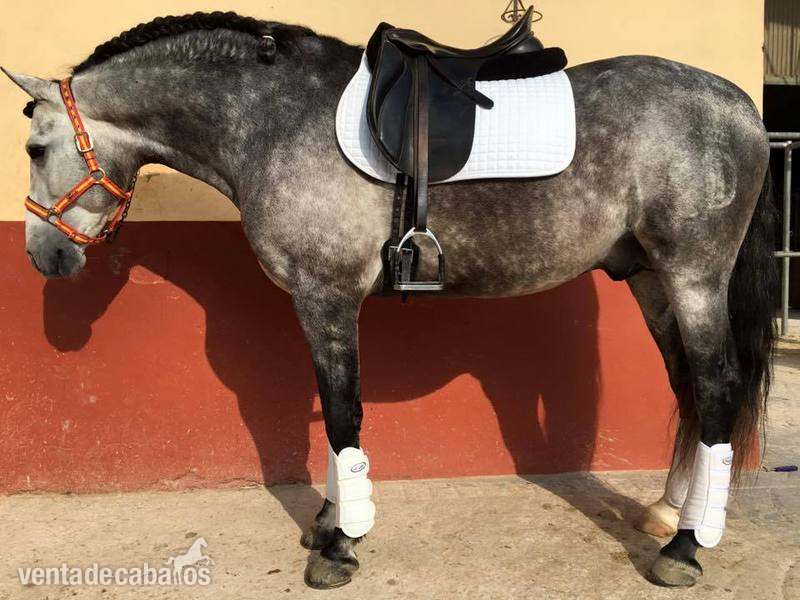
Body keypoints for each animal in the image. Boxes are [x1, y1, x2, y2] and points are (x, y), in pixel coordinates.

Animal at [3, 11, 776, 590]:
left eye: (35, 149)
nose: (44, 256)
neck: (273, 119)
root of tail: (739, 103)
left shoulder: (326, 297)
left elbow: (344, 413)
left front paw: (341, 543)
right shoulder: (319, 302)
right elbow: (330, 416)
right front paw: (328, 522)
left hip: (694, 277)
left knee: (716, 387)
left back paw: (685, 548)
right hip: (651, 281)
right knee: (688, 385)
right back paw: (669, 513)